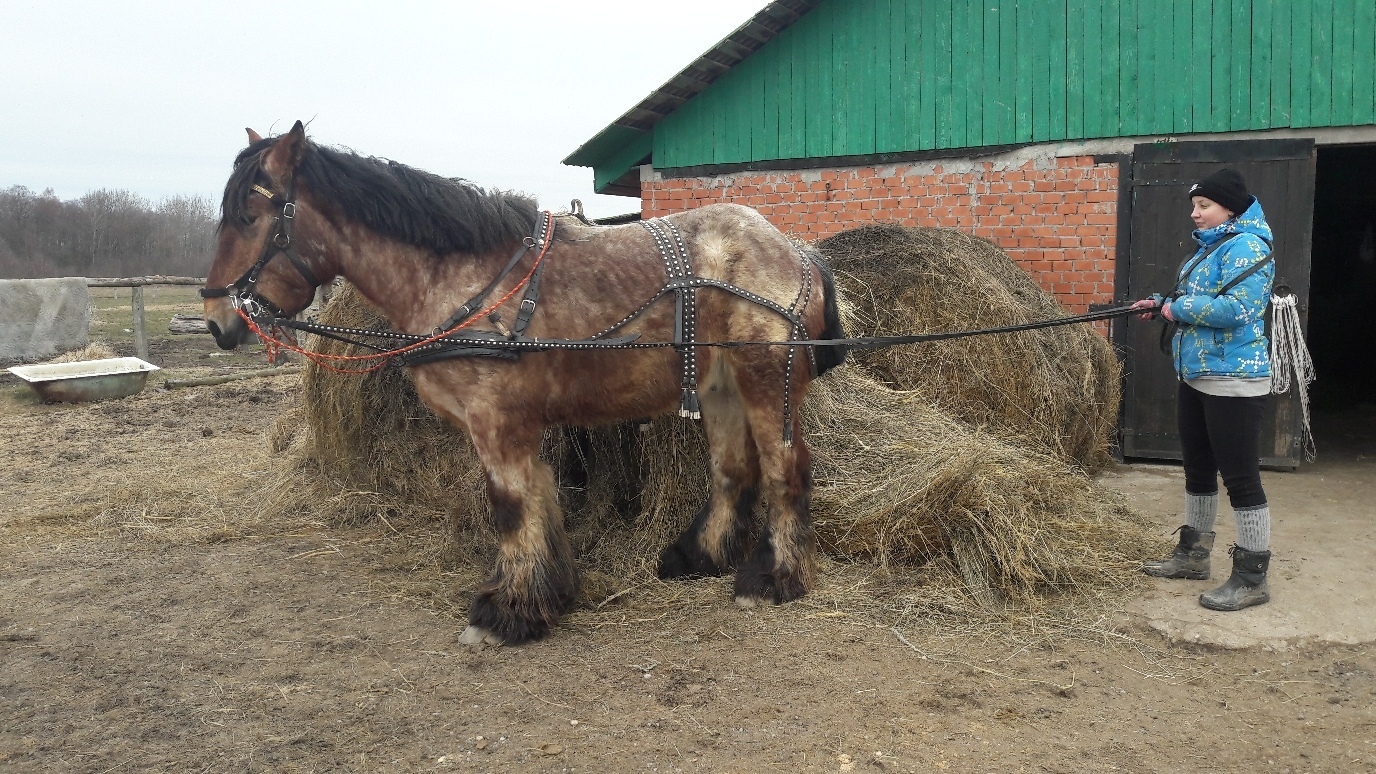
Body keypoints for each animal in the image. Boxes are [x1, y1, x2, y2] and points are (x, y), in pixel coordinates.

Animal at [200, 119, 847, 639]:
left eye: (250, 217)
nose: (216, 321)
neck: (463, 278)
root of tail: (797, 251)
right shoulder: (517, 424)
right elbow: (539, 497)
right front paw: (547, 593)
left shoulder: (496, 420)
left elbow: (510, 506)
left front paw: (508, 612)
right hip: (719, 387)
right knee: (733, 470)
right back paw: (701, 556)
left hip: (766, 382)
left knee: (786, 468)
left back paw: (775, 577)